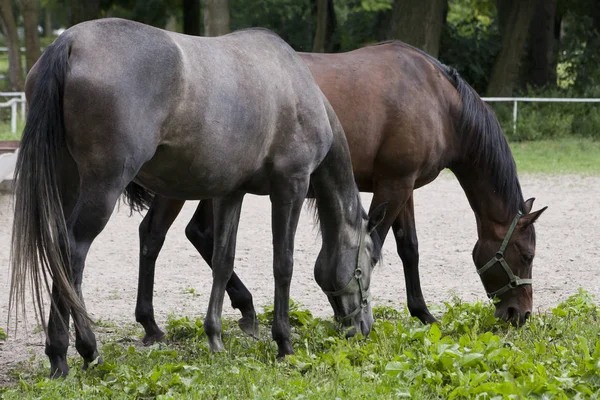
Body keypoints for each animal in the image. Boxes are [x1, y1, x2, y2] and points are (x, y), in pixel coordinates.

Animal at [9, 18, 384, 376]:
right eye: (370, 258)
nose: (363, 327)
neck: (295, 86)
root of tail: (69, 42)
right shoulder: (289, 187)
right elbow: (284, 264)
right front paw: (284, 343)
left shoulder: (232, 193)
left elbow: (222, 260)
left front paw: (215, 337)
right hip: (103, 187)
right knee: (72, 252)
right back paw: (74, 351)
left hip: (68, 185)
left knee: (62, 253)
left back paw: (73, 350)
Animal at [132, 39, 548, 344]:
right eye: (526, 255)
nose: (521, 314)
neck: (438, 100)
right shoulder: (394, 185)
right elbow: (376, 248)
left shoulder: (404, 186)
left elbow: (409, 249)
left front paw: (423, 314)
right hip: (184, 184)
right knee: (154, 234)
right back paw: (152, 324)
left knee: (197, 234)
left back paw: (243, 309)